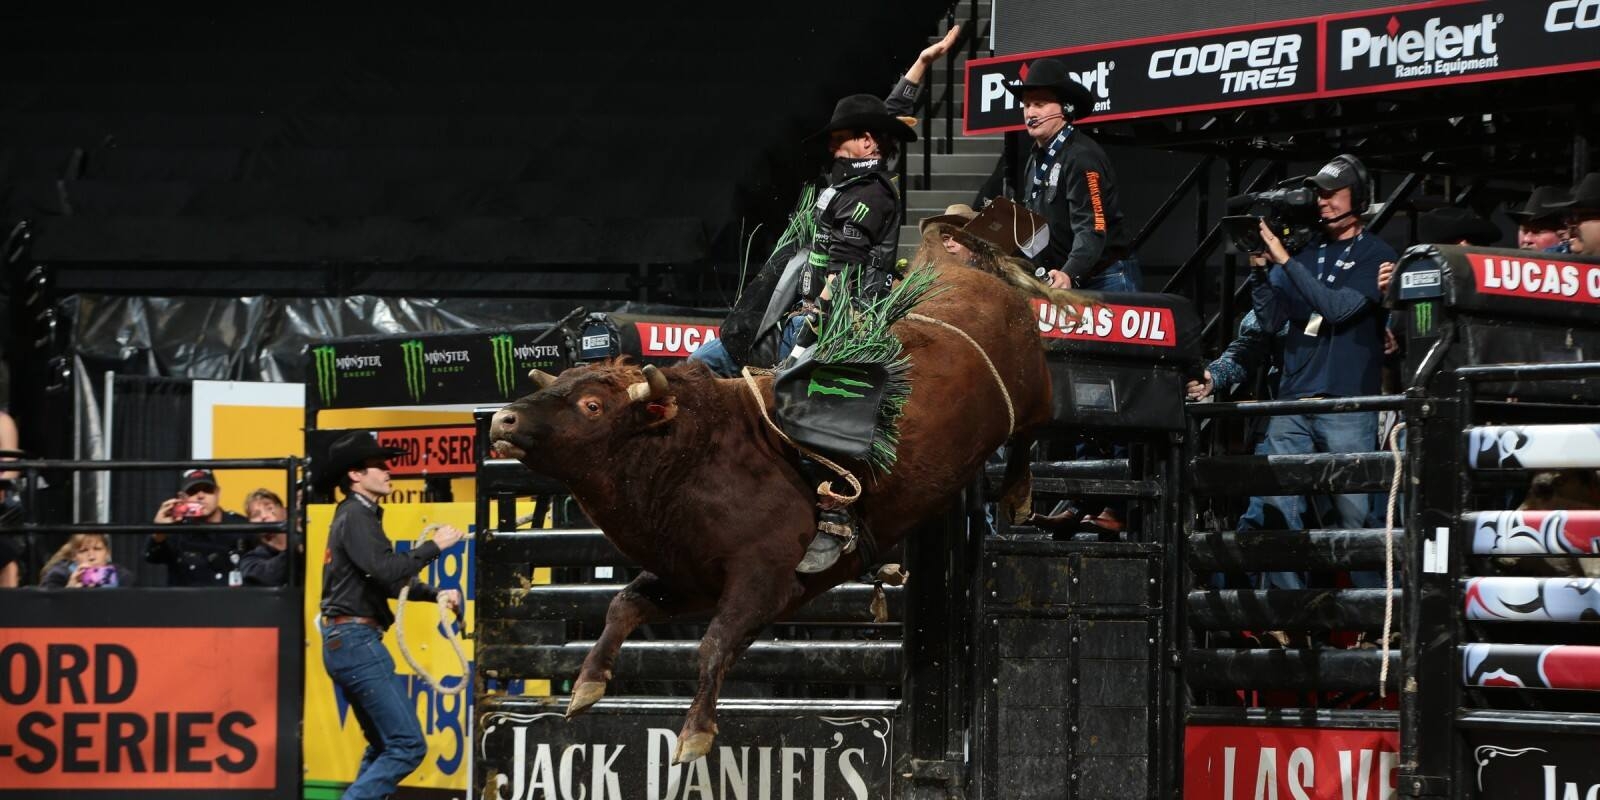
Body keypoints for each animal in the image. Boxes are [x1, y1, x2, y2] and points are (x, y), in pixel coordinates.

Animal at [480, 254, 1068, 761]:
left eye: (592, 405)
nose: (503, 419)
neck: (692, 457)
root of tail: (978, 273)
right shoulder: (688, 578)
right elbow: (624, 606)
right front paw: (586, 686)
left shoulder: (763, 578)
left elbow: (714, 643)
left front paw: (695, 734)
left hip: (1033, 394)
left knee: (1031, 430)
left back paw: (1019, 496)